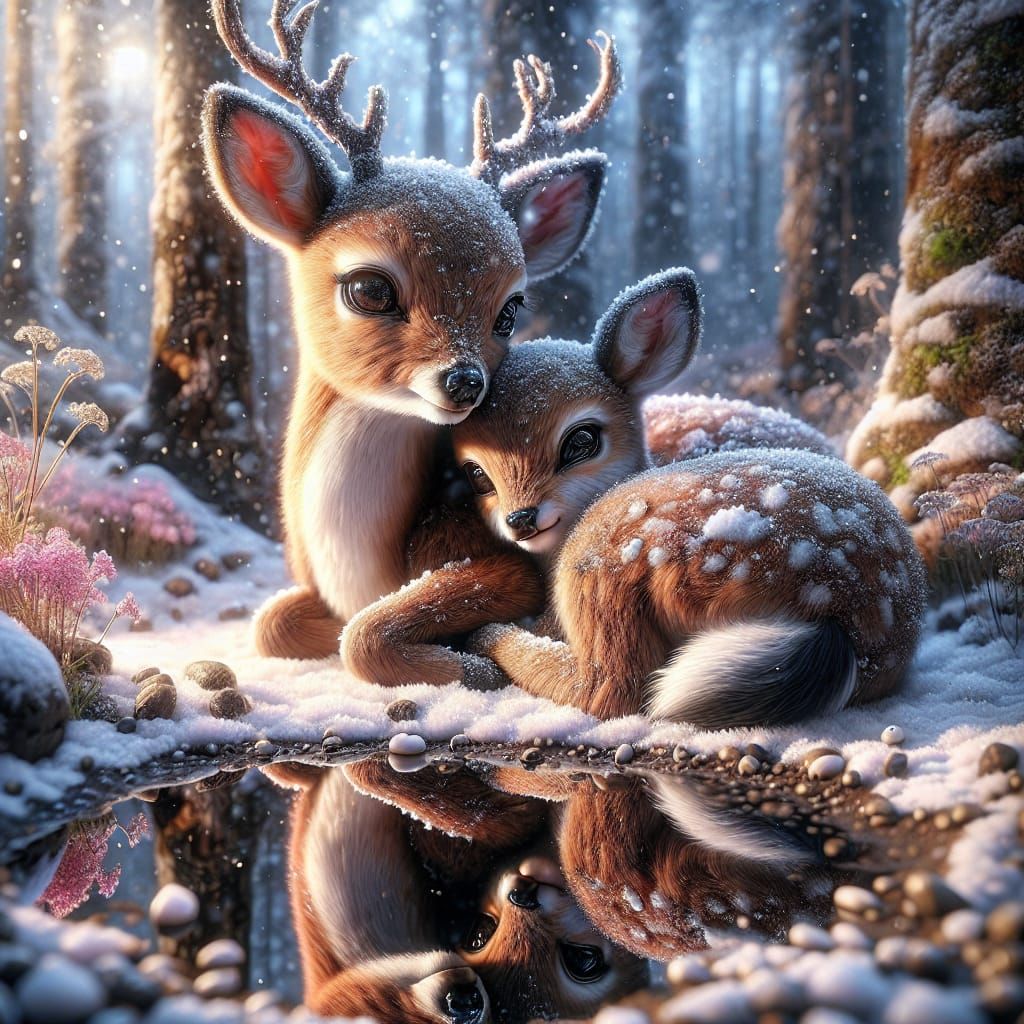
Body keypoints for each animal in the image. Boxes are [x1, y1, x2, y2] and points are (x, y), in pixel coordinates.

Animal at [201, 0, 621, 671]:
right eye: (369, 289)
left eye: (511, 309)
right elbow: (272, 624)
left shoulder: (505, 565)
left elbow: (362, 636)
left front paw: (475, 666)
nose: (466, 380)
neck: (361, 572)